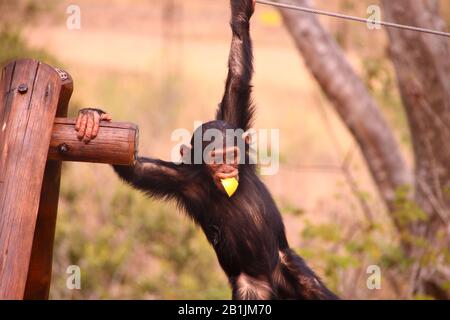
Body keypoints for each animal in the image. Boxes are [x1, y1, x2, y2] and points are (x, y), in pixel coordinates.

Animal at [75, 0, 338, 300]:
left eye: (232, 155)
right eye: (215, 158)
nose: (227, 169)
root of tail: (273, 279)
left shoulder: (235, 125)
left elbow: (237, 79)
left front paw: (240, 17)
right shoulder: (180, 180)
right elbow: (135, 168)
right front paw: (93, 117)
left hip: (289, 265)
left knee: (312, 287)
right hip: (252, 287)